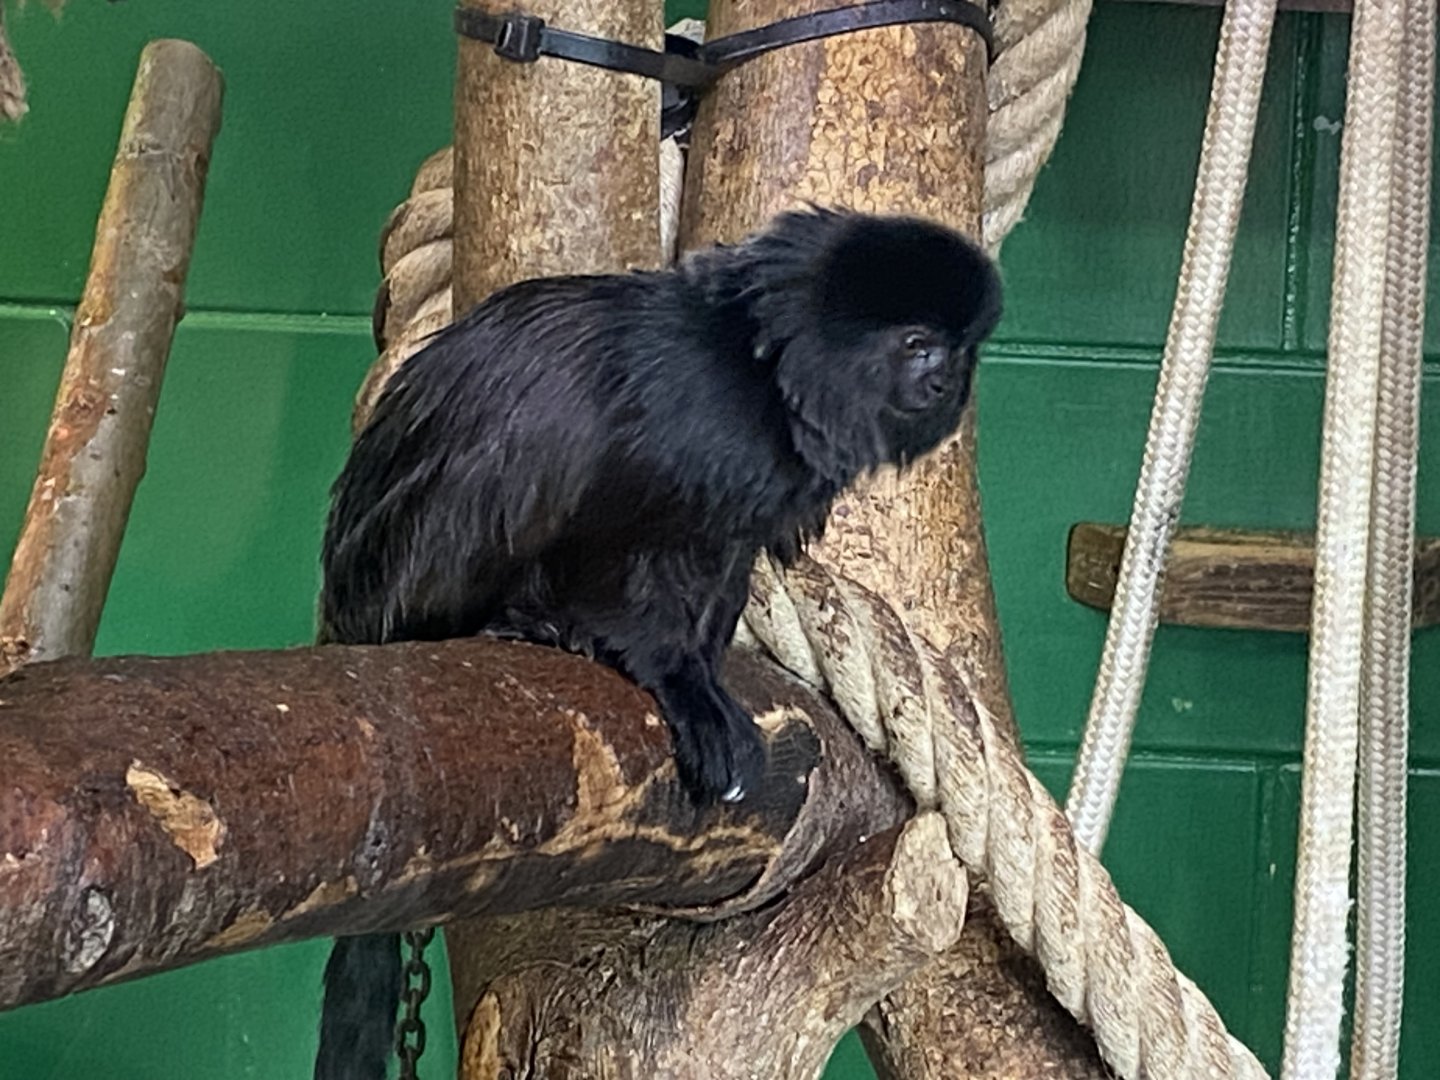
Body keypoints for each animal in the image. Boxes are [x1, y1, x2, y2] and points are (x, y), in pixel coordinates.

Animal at [312, 206, 1002, 1080]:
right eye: (918, 344)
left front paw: (706, 672)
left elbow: (722, 559)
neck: (763, 375)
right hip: (397, 569)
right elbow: (625, 534)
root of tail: (344, 605)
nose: (947, 382)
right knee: (531, 435)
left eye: (960, 347)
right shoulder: (682, 422)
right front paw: (676, 683)